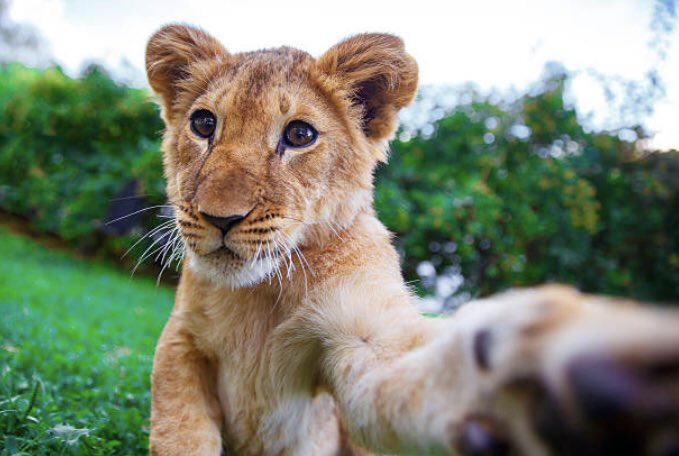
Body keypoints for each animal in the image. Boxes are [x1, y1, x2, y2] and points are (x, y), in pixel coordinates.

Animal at [144, 25, 679, 455]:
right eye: (204, 124)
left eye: (299, 135)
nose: (220, 218)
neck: (257, 293)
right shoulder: (181, 343)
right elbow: (179, 432)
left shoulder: (361, 335)